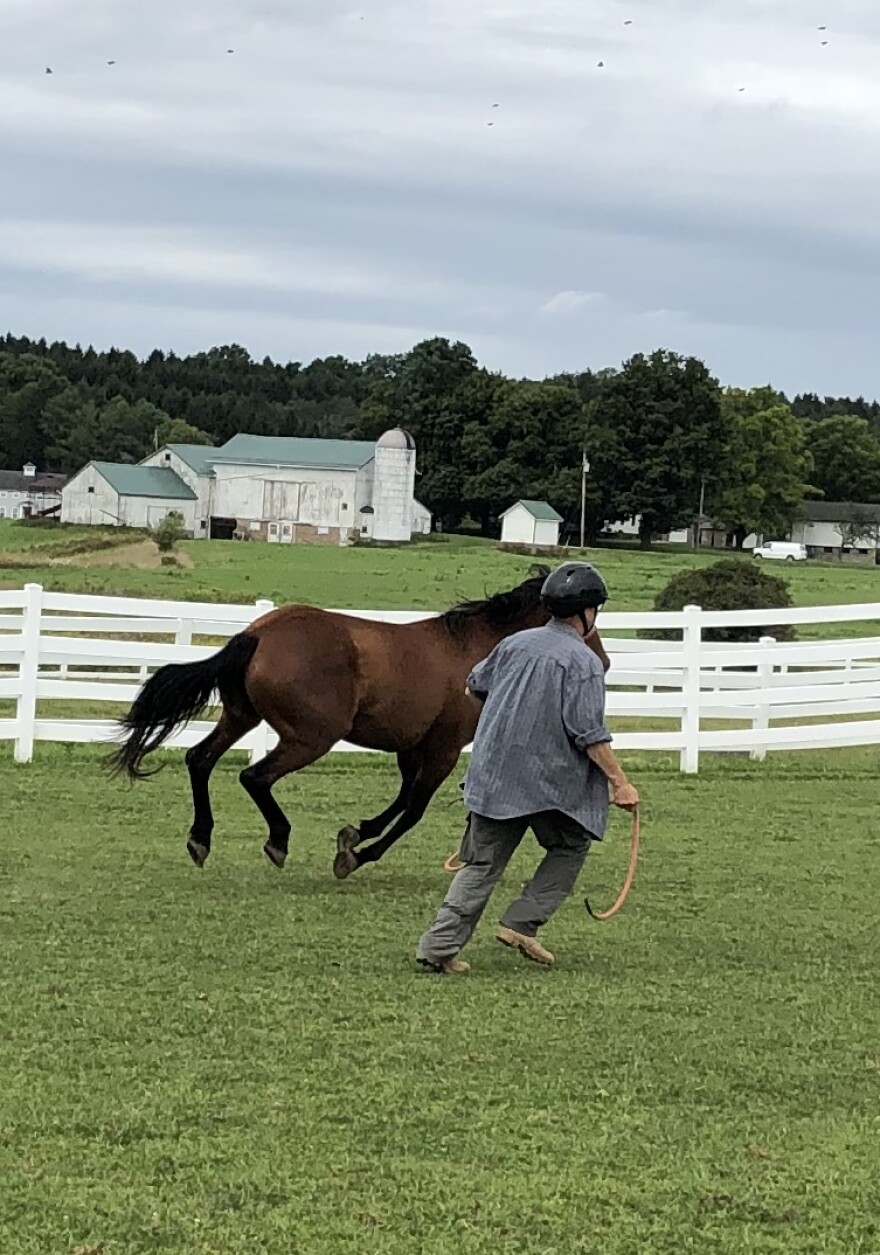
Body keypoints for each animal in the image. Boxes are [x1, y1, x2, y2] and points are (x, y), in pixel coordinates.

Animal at [109, 564, 607, 878]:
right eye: (590, 623)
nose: (602, 661)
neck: (472, 650)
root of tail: (256, 634)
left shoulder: (412, 746)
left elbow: (402, 799)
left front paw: (355, 834)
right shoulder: (443, 748)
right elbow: (413, 809)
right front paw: (358, 855)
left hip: (241, 717)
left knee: (200, 759)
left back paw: (201, 839)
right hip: (310, 738)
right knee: (254, 777)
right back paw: (277, 841)